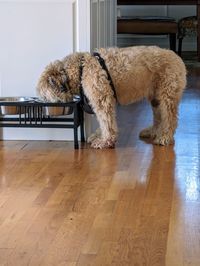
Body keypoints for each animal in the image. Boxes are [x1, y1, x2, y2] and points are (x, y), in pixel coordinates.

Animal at [36, 46, 187, 149]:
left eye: (44, 96)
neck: (81, 68)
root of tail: (178, 58)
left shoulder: (102, 99)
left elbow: (105, 121)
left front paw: (105, 140)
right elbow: (102, 121)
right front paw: (99, 135)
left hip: (167, 96)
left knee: (170, 118)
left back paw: (165, 137)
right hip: (155, 98)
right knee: (159, 117)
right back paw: (153, 132)